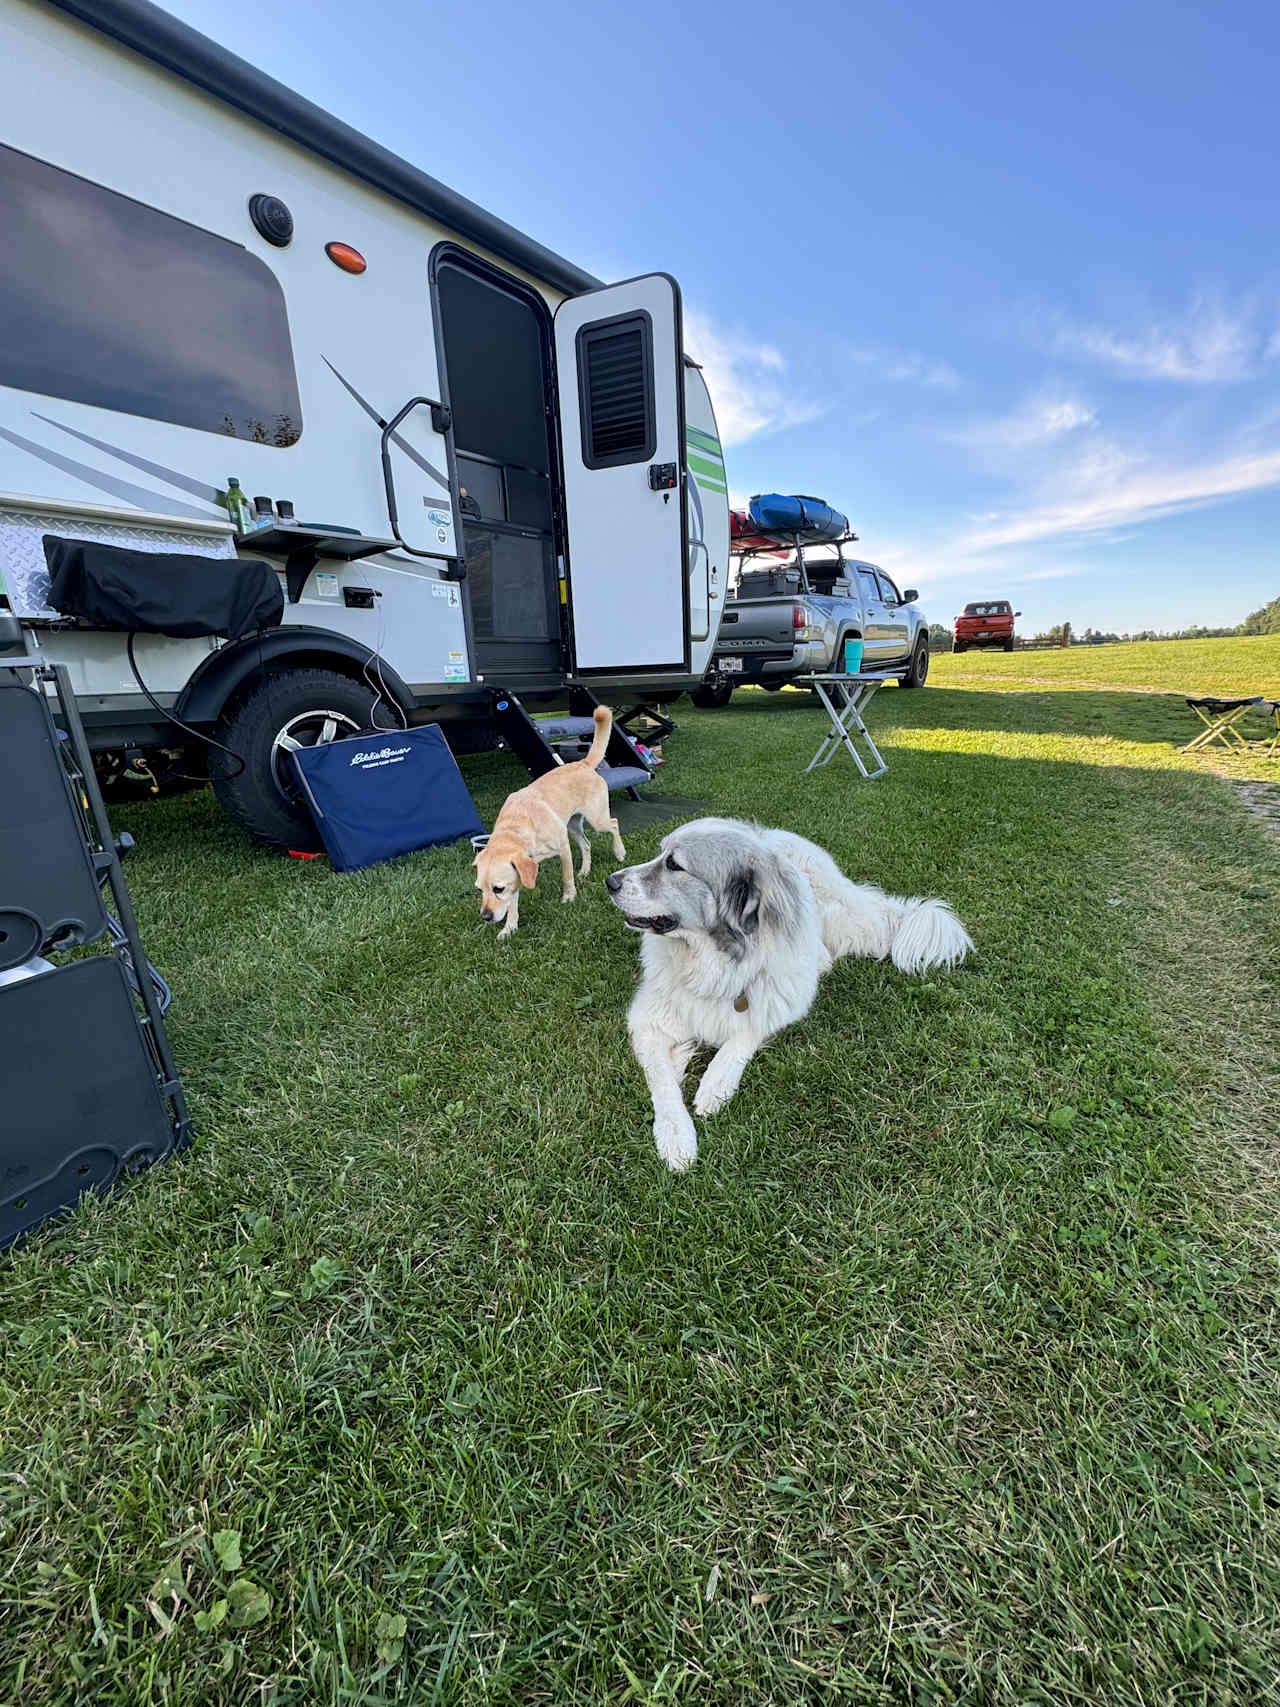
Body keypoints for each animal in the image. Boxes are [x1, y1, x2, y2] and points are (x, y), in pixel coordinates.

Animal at [607, 815, 976, 1167]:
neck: (714, 964)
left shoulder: (782, 999)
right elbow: (663, 1082)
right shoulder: (648, 1022)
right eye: (660, 854)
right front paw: (676, 1137)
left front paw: (714, 1085)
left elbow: (742, 1036)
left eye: (674, 865)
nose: (610, 881)